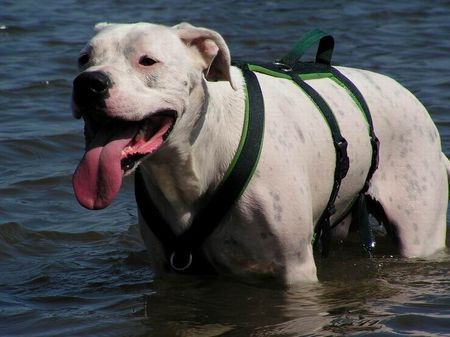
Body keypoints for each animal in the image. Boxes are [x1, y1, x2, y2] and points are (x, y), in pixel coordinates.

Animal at [72, 21, 448, 284]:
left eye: (147, 61)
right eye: (84, 59)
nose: (88, 83)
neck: (192, 161)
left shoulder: (295, 270)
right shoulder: (171, 269)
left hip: (419, 232)